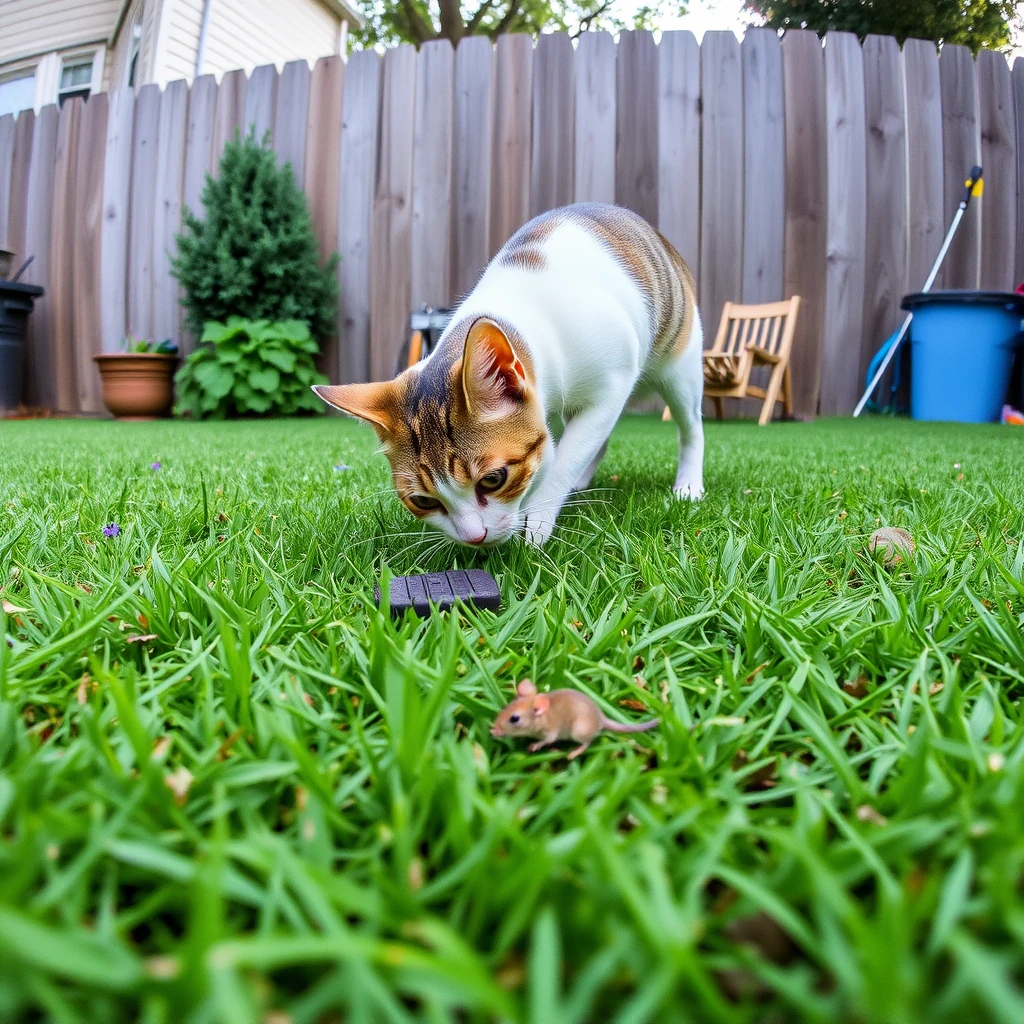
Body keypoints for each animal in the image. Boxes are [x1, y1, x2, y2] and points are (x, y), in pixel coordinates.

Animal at [311, 202, 704, 548]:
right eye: (423, 501)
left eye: (493, 479)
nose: (474, 538)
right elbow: (558, 448)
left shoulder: (611, 386)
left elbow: (564, 459)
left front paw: (538, 519)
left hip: (680, 368)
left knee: (690, 426)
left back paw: (687, 485)